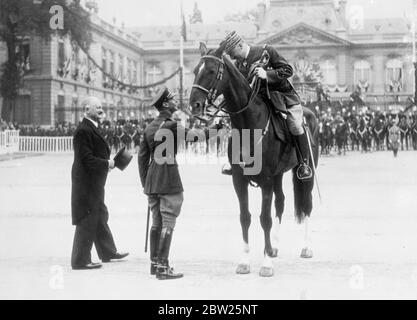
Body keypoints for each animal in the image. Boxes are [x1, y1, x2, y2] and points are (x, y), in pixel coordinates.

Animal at [188, 43, 318, 278]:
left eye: (211, 70)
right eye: (195, 70)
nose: (195, 105)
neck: (248, 122)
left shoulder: (265, 179)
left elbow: (264, 219)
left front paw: (266, 265)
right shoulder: (239, 180)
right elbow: (245, 217)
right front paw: (245, 261)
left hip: (306, 173)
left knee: (307, 204)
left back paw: (306, 247)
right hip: (278, 175)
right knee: (281, 202)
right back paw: (274, 247)